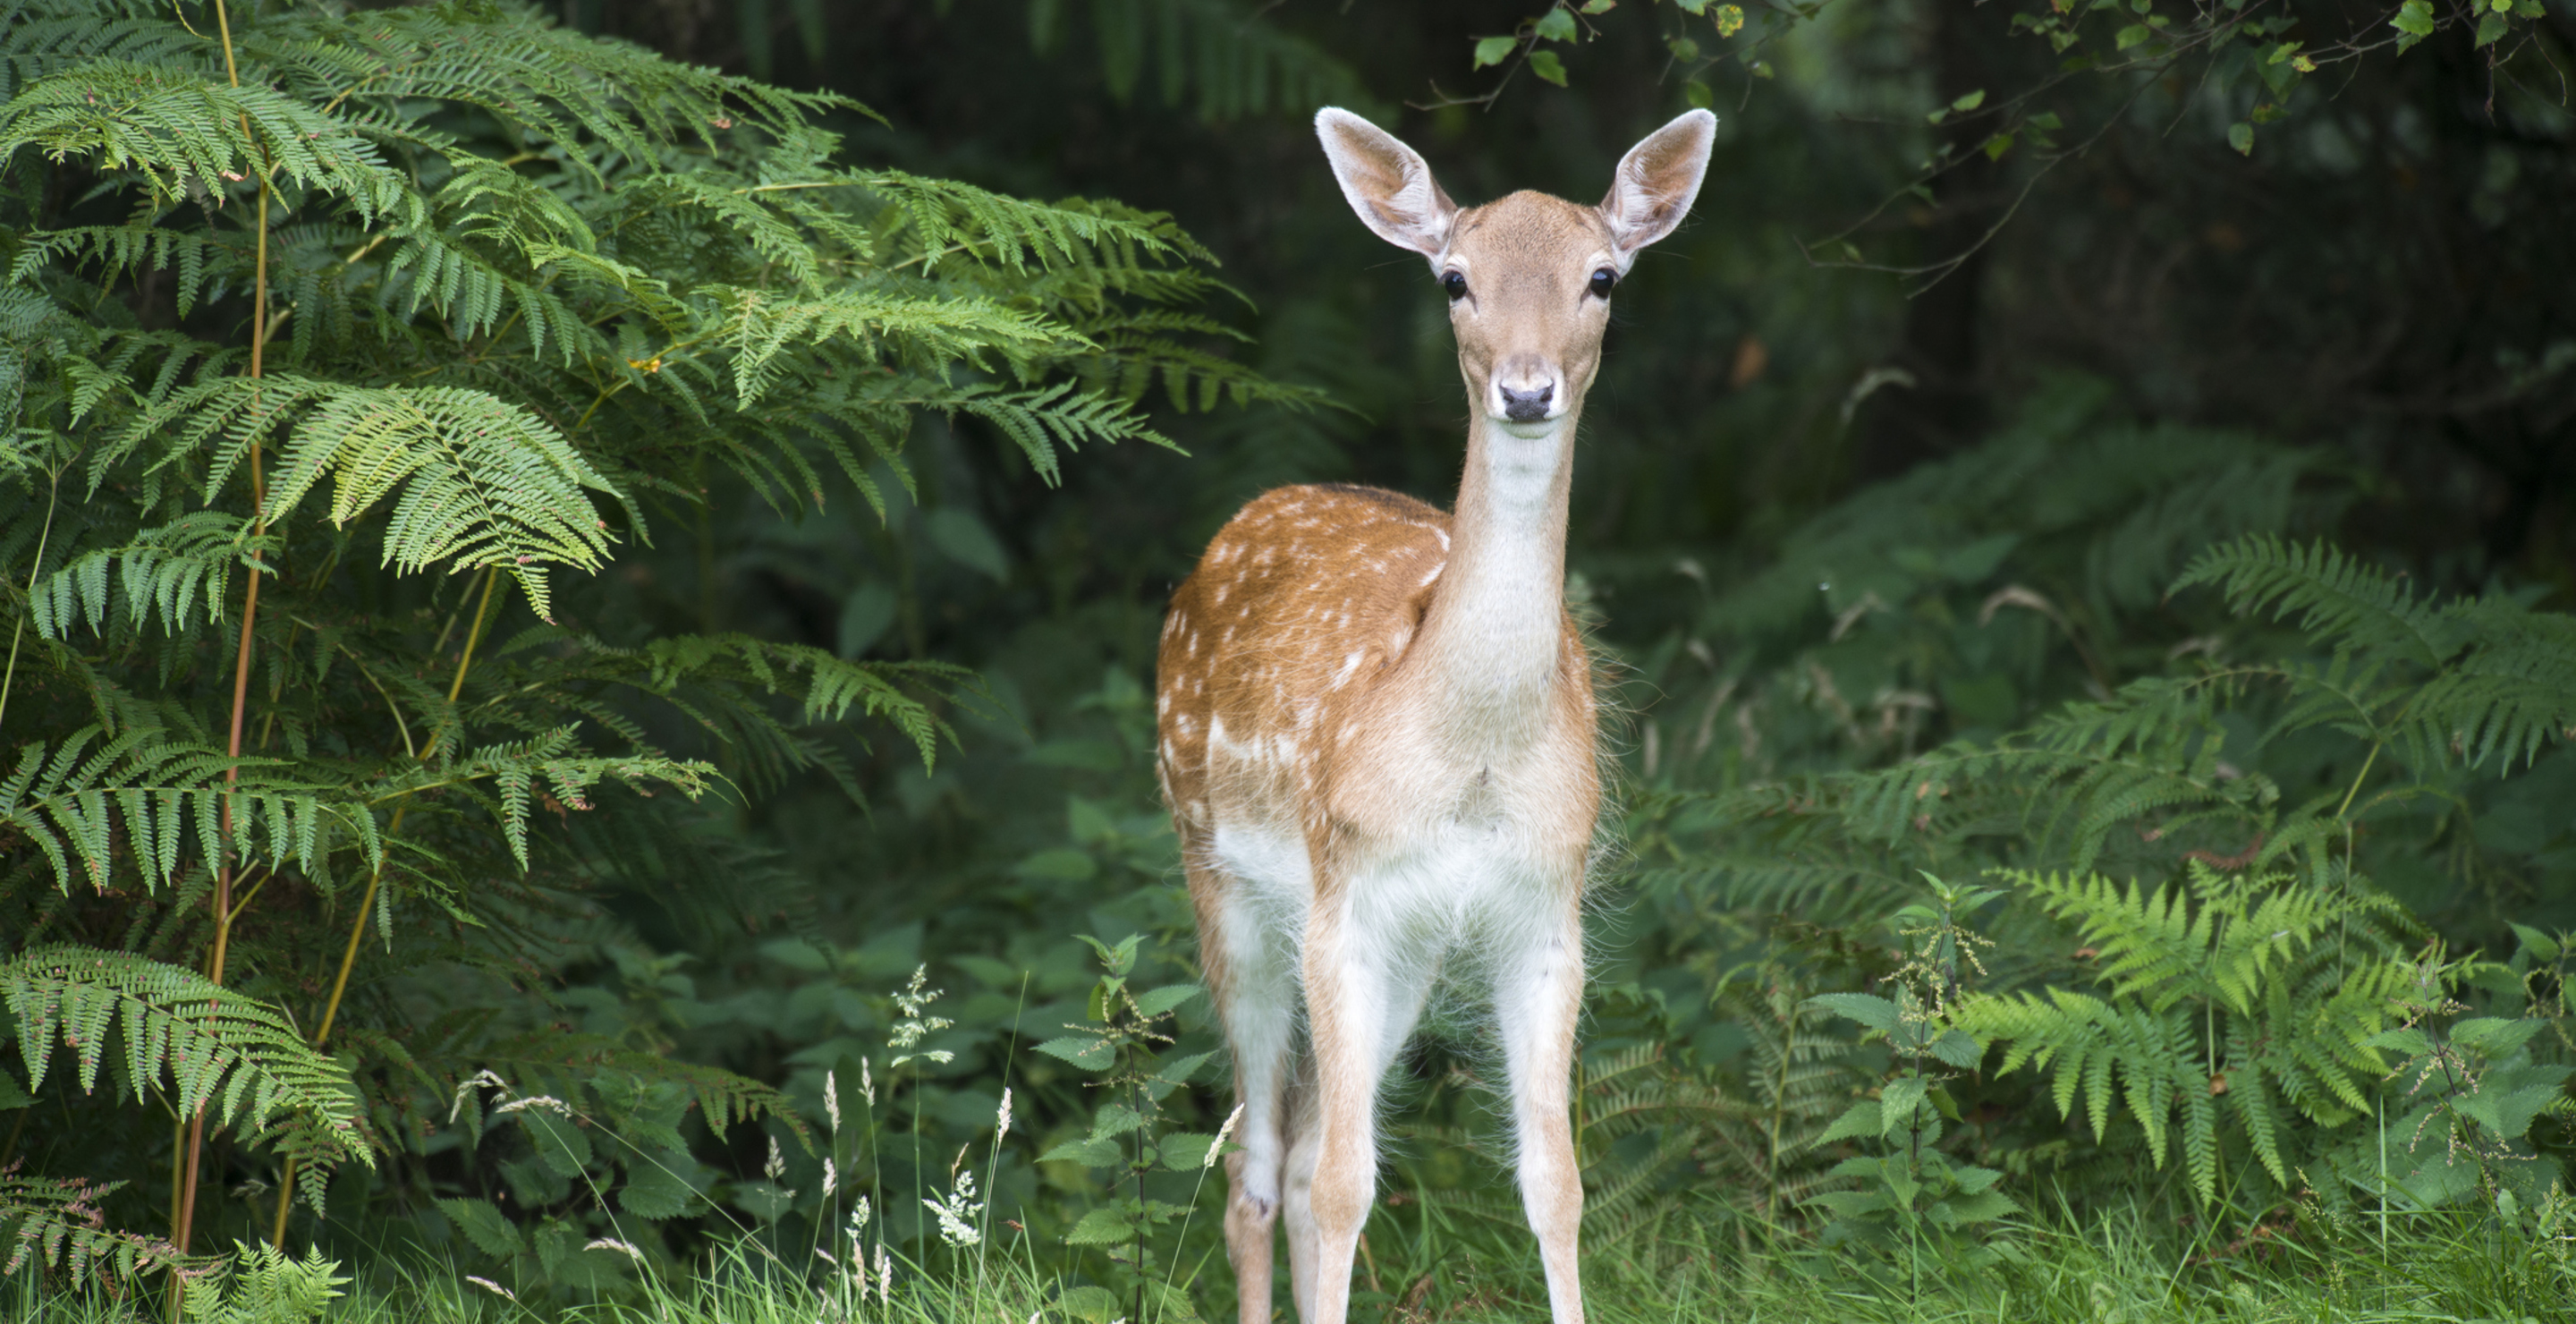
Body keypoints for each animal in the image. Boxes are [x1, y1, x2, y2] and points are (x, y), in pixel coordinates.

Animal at [1154, 106, 1715, 1324]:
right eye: (1455, 279)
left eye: (1603, 276)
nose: (1526, 388)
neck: (1472, 757)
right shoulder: (1344, 893)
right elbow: (1345, 1187)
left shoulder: (1543, 908)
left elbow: (1556, 1181)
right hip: (1220, 876)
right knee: (1258, 1172)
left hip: (1405, 952)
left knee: (1299, 1153)